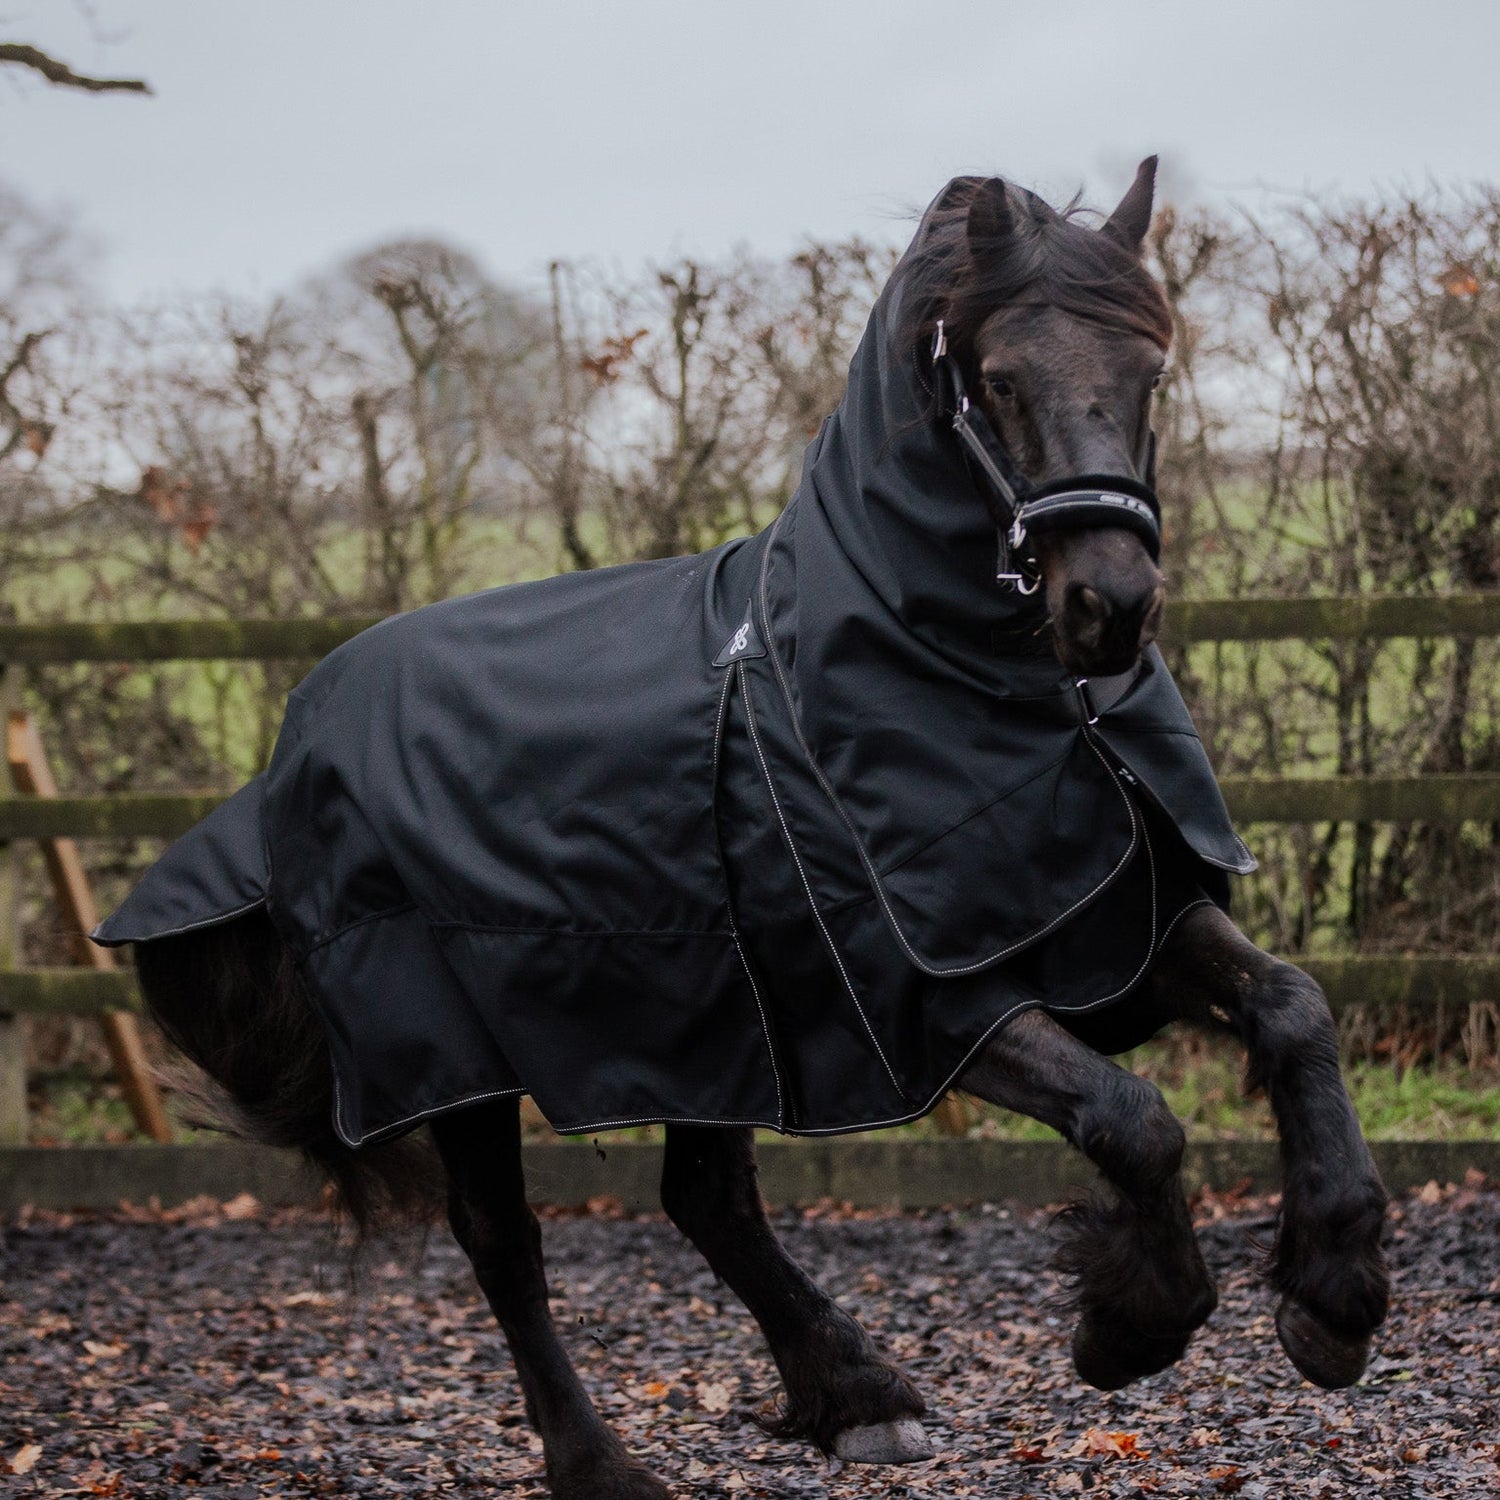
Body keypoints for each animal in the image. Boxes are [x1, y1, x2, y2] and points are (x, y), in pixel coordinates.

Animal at [96, 160, 1390, 1500]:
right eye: (996, 378)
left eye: (1152, 374)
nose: (1112, 605)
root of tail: (295, 736)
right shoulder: (926, 1001)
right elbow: (1135, 1119)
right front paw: (1132, 1326)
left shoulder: (1111, 926)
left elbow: (1294, 1009)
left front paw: (1334, 1299)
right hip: (458, 1055)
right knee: (503, 1239)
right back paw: (604, 1464)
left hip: (707, 1022)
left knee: (705, 1197)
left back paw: (861, 1398)